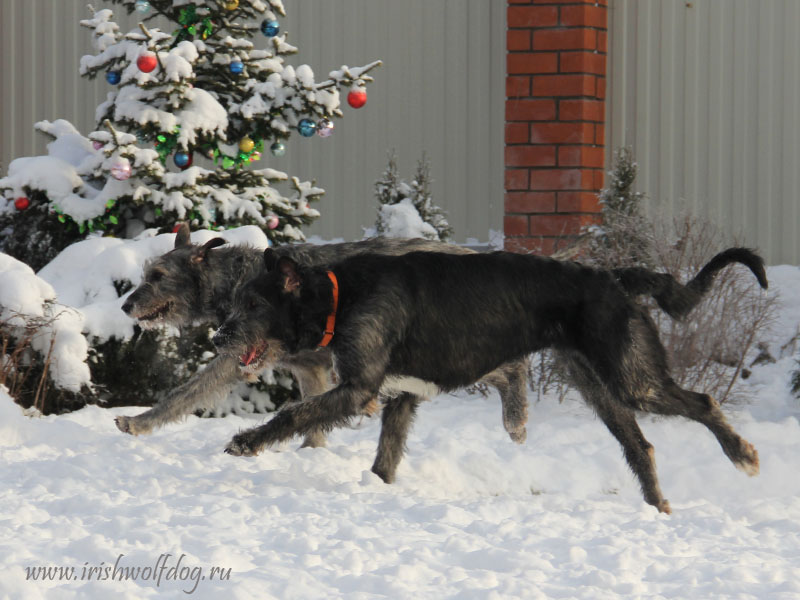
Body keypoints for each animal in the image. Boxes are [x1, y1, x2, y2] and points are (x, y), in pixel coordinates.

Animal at [117, 226, 532, 450]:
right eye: (145, 274)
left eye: (157, 276)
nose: (125, 305)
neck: (231, 279)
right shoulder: (307, 368)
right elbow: (312, 409)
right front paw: (312, 450)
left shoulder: (238, 353)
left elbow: (188, 391)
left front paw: (140, 421)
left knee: (512, 366)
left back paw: (516, 418)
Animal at [214, 248, 768, 516]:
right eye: (237, 301)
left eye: (254, 304)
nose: (218, 334)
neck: (338, 295)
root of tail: (612, 277)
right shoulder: (402, 395)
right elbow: (385, 457)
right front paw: (378, 489)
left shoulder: (359, 388)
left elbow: (295, 412)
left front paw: (246, 441)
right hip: (598, 386)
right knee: (640, 445)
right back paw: (658, 509)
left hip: (634, 380)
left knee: (702, 401)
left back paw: (741, 452)